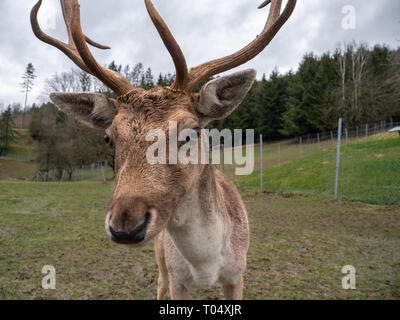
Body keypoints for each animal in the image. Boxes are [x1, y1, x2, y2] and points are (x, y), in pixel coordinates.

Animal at [31, 0, 296, 300]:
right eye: (108, 137)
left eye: (192, 131)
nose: (125, 226)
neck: (206, 265)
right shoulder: (178, 280)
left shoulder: (237, 275)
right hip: (161, 259)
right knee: (159, 283)